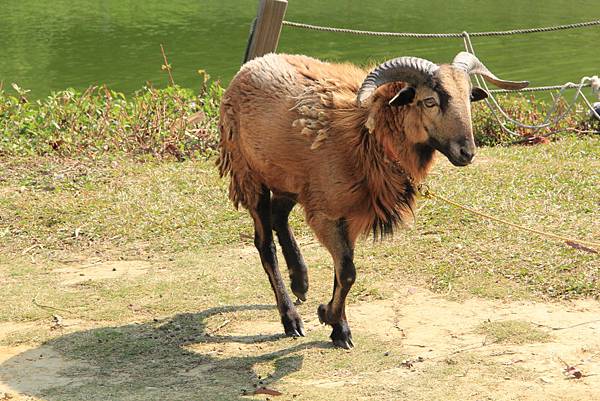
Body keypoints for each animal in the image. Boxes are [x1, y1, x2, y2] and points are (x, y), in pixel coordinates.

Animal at [218, 52, 528, 346]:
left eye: (468, 99)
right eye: (429, 101)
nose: (467, 152)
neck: (370, 134)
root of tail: (248, 67)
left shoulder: (353, 213)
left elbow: (343, 272)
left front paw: (334, 323)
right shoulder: (327, 213)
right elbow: (347, 272)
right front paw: (332, 320)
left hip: (289, 179)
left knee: (279, 217)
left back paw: (301, 282)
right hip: (250, 175)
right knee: (265, 244)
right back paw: (290, 318)